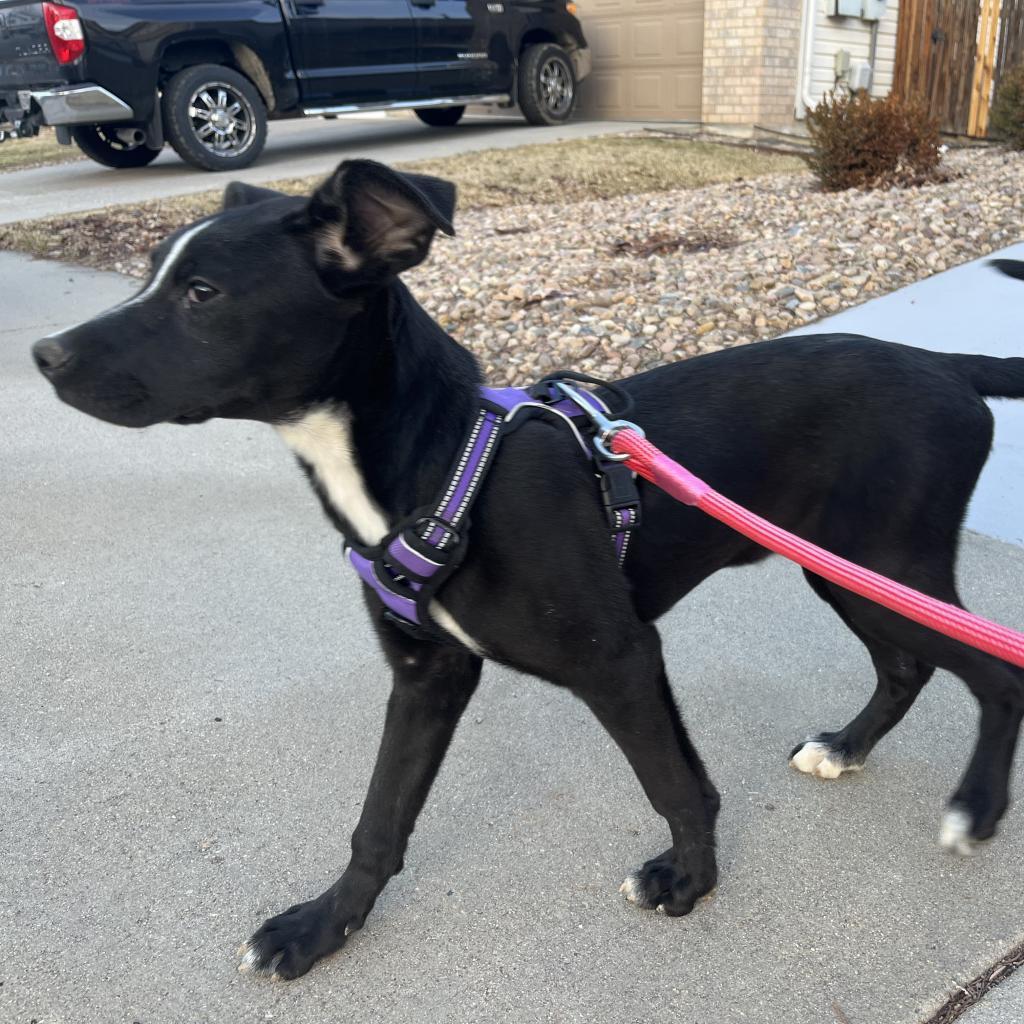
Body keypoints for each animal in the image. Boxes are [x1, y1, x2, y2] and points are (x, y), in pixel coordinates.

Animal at [32, 163, 1024, 978]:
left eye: (202, 293)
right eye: (155, 273)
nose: (44, 357)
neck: (441, 466)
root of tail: (945, 363)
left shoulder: (619, 658)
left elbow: (677, 784)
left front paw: (690, 882)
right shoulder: (427, 673)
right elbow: (379, 817)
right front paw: (325, 927)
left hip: (882, 566)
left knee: (992, 670)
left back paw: (976, 809)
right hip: (851, 571)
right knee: (909, 665)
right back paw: (849, 748)